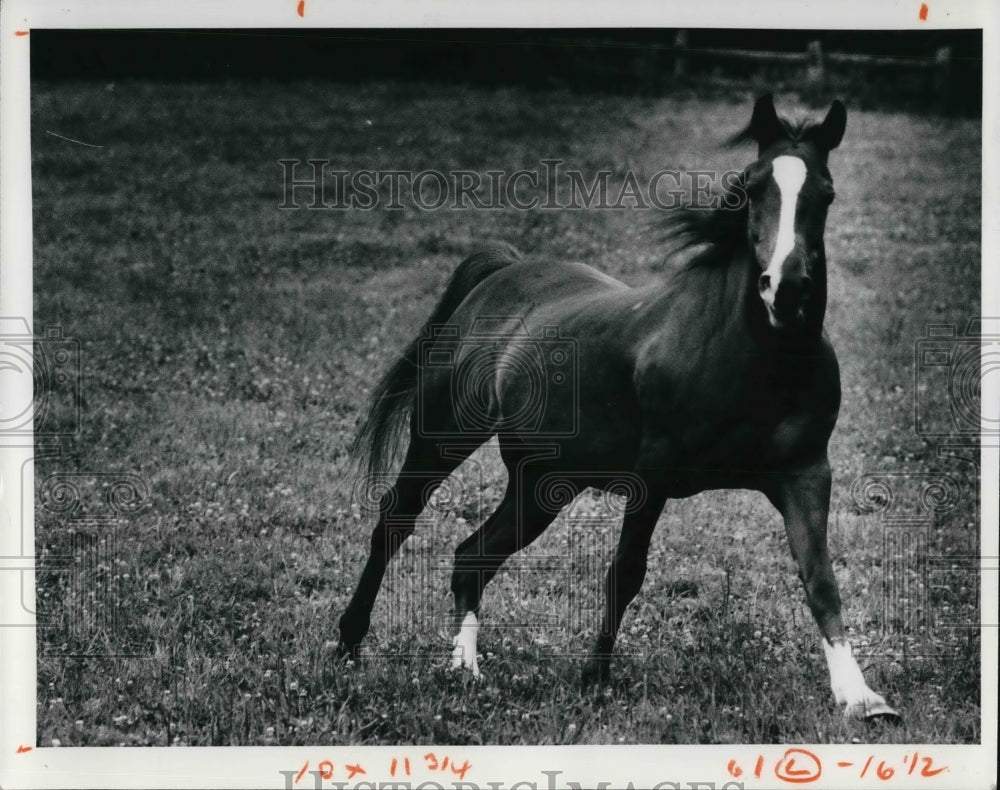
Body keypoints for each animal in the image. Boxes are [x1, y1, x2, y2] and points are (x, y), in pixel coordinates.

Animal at [336, 94, 900, 724]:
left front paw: (861, 696)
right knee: (395, 521)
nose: (787, 287)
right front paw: (595, 678)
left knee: (472, 555)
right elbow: (626, 572)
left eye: (826, 193)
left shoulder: (805, 474)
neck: (752, 357)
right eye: (752, 186)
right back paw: (350, 642)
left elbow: (820, 578)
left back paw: (464, 668)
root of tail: (502, 270)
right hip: (443, 438)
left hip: (542, 483)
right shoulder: (652, 474)